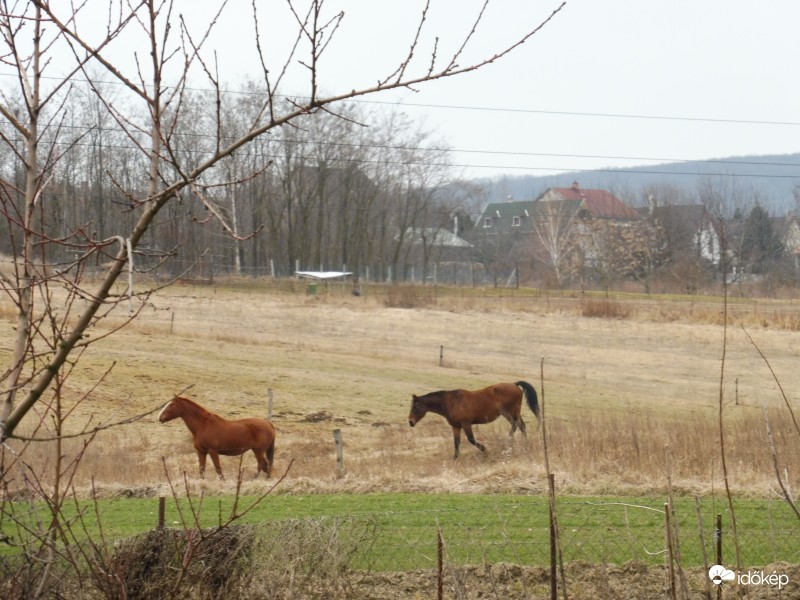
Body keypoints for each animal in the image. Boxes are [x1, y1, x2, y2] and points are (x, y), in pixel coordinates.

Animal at [410, 380, 540, 460]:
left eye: (416, 406)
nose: (410, 421)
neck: (451, 402)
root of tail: (514, 384)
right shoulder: (456, 426)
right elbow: (456, 442)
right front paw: (455, 458)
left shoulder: (466, 423)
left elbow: (471, 439)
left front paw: (485, 450)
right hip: (515, 412)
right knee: (522, 425)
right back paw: (525, 445)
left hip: (507, 413)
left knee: (515, 425)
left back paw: (508, 442)